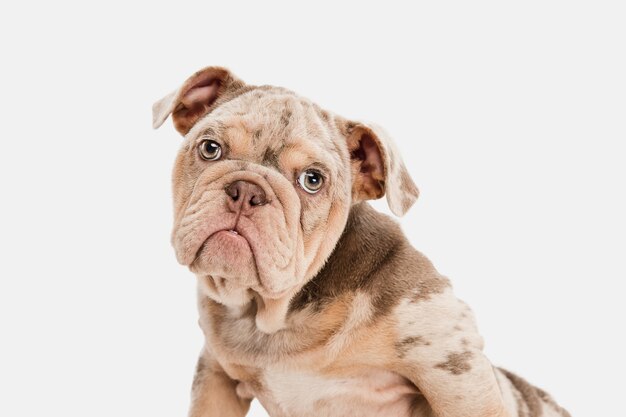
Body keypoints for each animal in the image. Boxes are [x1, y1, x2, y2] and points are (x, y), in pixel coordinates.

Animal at [152, 66, 572, 416]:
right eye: (210, 148)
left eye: (312, 180)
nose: (247, 190)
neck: (274, 313)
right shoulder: (216, 377)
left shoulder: (451, 364)